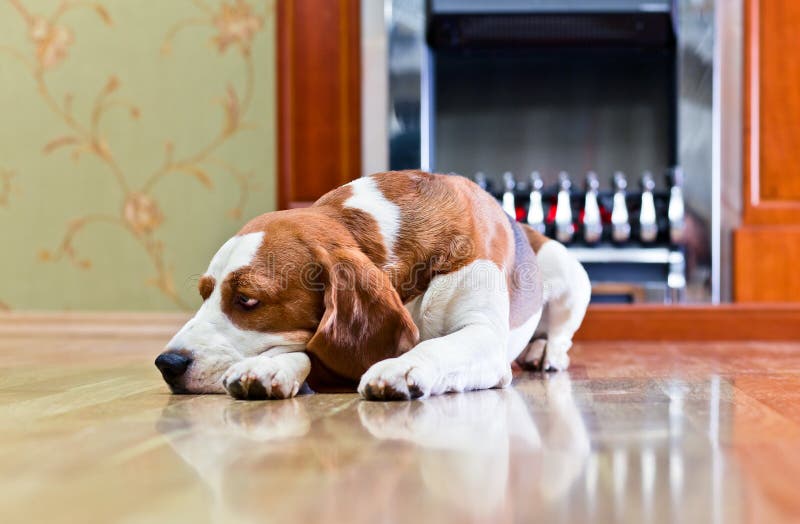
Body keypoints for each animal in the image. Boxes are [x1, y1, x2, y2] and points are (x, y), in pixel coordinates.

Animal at [156, 170, 592, 400]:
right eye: (204, 293)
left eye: (247, 300)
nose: (167, 363)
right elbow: (311, 350)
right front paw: (270, 366)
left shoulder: (483, 335)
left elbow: (437, 346)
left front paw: (402, 366)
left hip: (568, 270)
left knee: (560, 335)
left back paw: (545, 352)